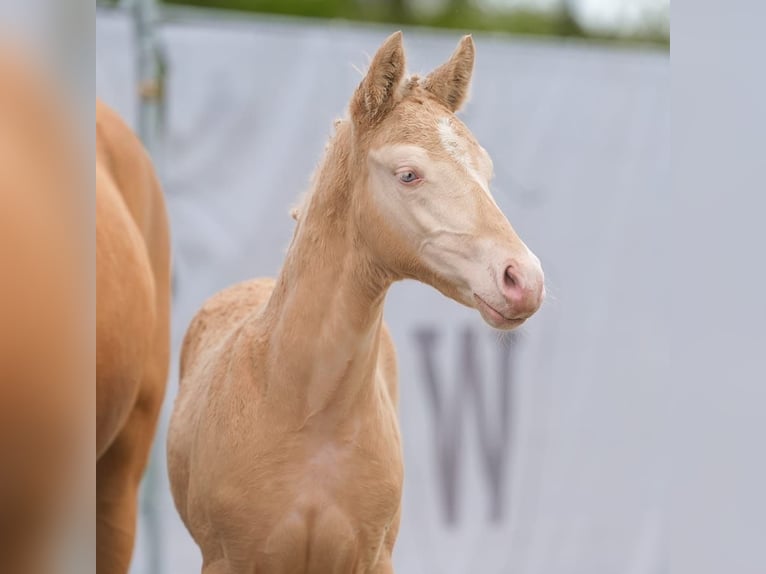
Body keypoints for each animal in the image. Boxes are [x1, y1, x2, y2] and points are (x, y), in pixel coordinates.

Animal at [168, 32, 544, 574]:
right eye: (408, 174)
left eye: (487, 172)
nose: (523, 280)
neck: (304, 411)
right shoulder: (227, 560)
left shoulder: (372, 557)